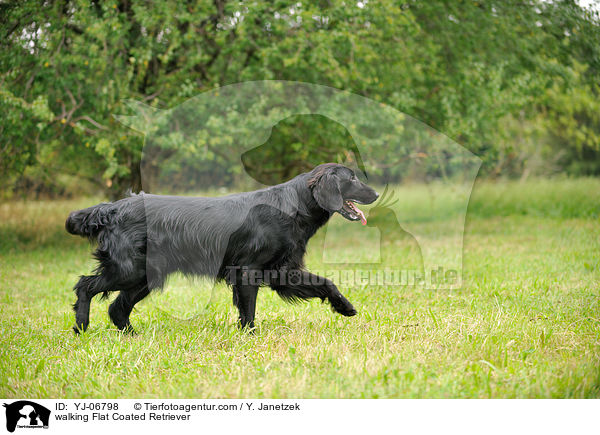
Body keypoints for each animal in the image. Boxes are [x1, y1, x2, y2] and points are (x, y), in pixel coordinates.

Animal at [68, 164, 378, 334]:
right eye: (351, 179)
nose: (375, 193)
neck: (292, 206)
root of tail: (111, 208)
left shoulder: (283, 271)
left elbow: (327, 283)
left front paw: (345, 307)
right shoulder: (248, 271)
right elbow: (249, 311)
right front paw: (250, 336)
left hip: (144, 276)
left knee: (116, 309)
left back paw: (134, 336)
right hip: (128, 269)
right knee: (85, 285)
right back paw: (81, 326)